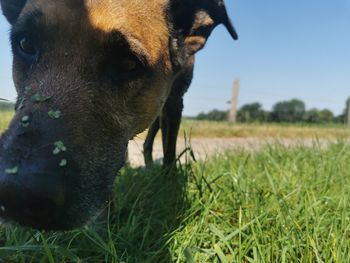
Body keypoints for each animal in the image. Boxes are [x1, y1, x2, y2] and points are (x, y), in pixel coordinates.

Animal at [0, 0, 237, 231]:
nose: (15, 193)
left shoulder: (174, 102)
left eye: (128, 63)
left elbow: (169, 150)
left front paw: (168, 185)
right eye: (25, 44)